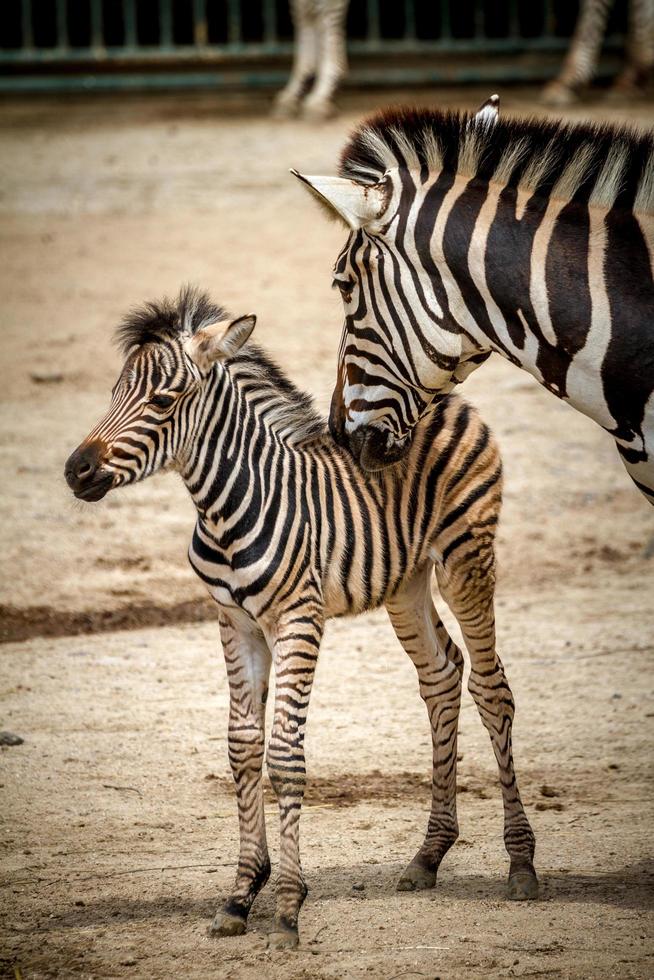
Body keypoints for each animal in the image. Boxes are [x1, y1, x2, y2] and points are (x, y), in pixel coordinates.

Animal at [65, 290, 540, 948]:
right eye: (112, 393)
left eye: (162, 400)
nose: (75, 471)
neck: (225, 508)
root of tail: (443, 398)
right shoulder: (233, 622)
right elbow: (243, 747)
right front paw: (242, 894)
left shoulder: (298, 618)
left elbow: (286, 753)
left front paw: (288, 906)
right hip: (405, 582)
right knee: (442, 677)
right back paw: (428, 855)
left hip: (465, 558)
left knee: (492, 690)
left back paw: (521, 864)